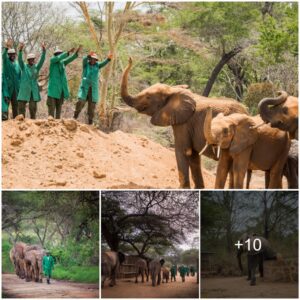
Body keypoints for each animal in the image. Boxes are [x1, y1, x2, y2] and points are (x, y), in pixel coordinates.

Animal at [120, 57, 248, 188]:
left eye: (148, 97)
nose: (130, 59)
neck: (173, 90)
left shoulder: (184, 123)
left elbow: (183, 151)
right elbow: (193, 156)